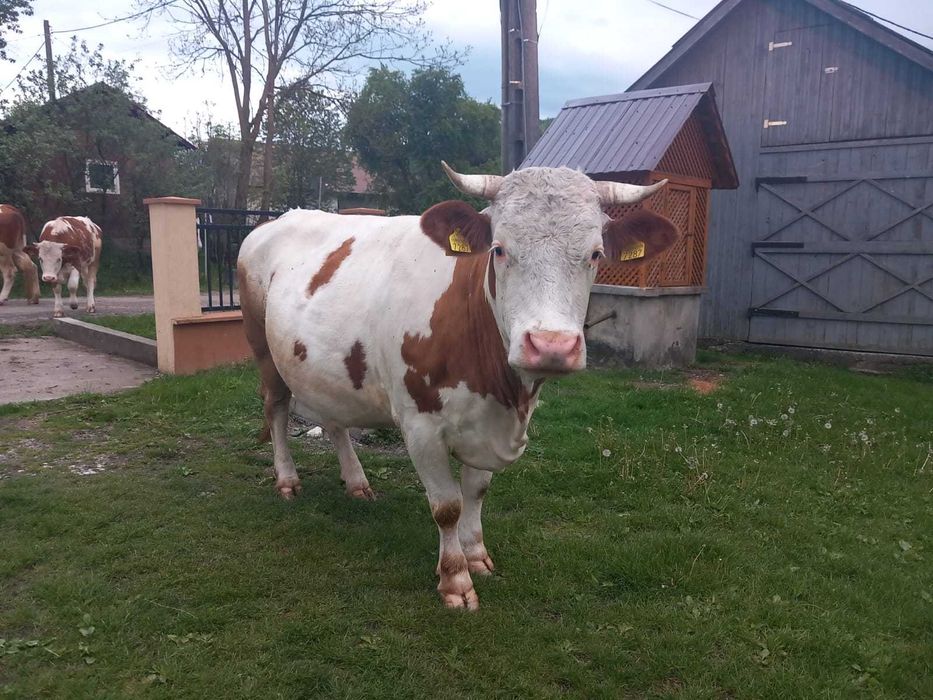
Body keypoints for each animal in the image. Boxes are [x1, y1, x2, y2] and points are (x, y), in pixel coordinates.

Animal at [237, 163, 679, 610]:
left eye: (595, 254)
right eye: (499, 249)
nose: (551, 346)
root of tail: (277, 219)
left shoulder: (487, 423)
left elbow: (477, 491)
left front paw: (476, 554)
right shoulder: (420, 425)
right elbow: (447, 505)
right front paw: (455, 579)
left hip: (325, 367)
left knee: (334, 420)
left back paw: (357, 483)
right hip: (262, 346)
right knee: (276, 409)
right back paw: (287, 480)